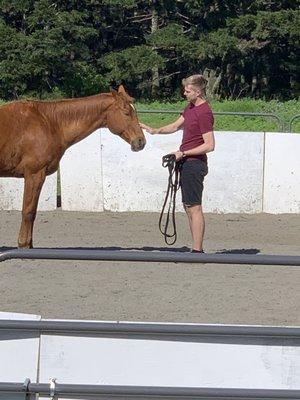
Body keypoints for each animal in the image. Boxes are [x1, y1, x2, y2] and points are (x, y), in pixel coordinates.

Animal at [0, 85, 145, 247]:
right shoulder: (34, 175)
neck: (48, 122)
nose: (141, 141)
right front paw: (24, 245)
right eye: (126, 112)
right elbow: (28, 212)